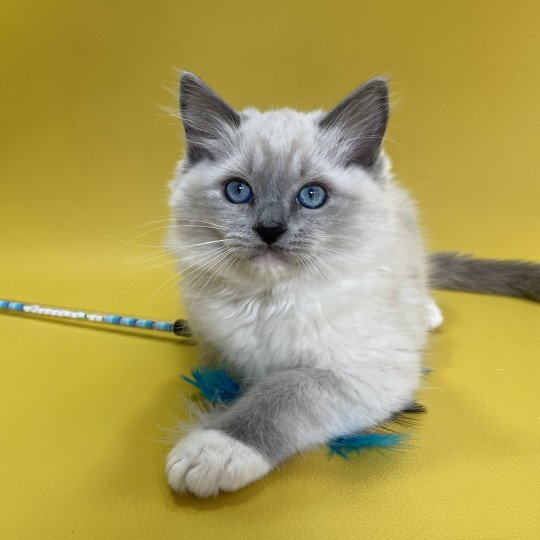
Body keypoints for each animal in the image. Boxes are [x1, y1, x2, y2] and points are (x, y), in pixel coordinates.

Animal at [166, 71, 540, 498]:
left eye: (312, 195)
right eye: (238, 191)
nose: (270, 230)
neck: (271, 300)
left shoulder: (363, 371)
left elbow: (279, 394)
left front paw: (214, 450)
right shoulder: (220, 349)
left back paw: (427, 314)